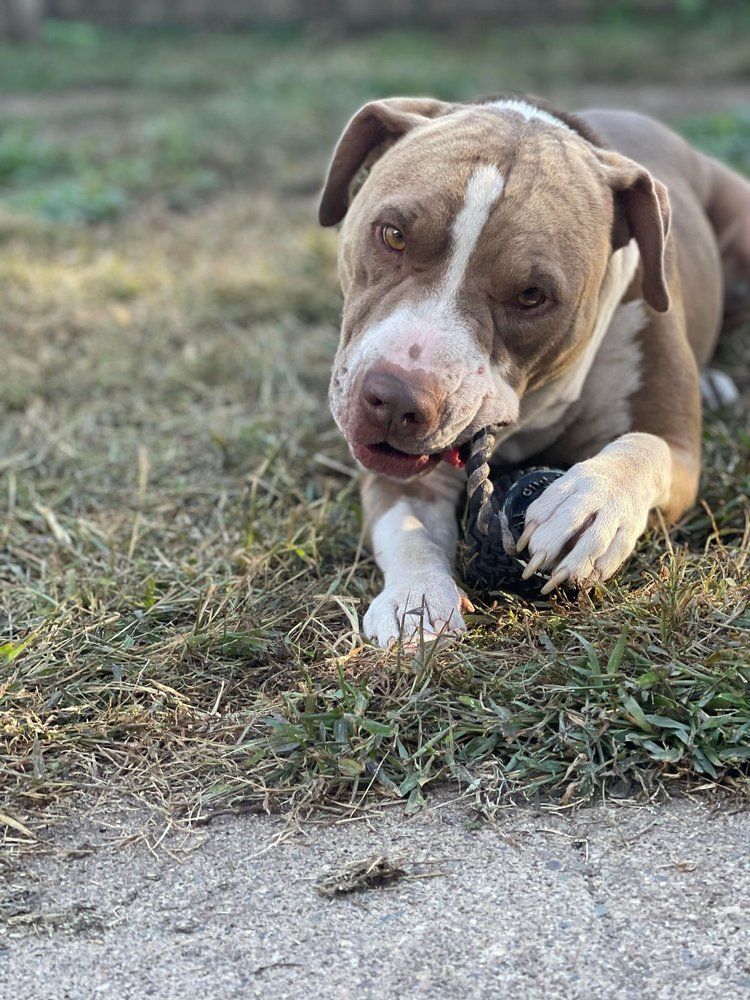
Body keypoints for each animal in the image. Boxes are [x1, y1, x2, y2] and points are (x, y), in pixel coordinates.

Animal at [318, 97, 750, 648]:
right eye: (392, 235)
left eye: (532, 296)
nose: (395, 400)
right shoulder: (398, 478)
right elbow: (406, 528)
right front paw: (415, 600)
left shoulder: (682, 453)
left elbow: (645, 445)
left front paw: (592, 503)